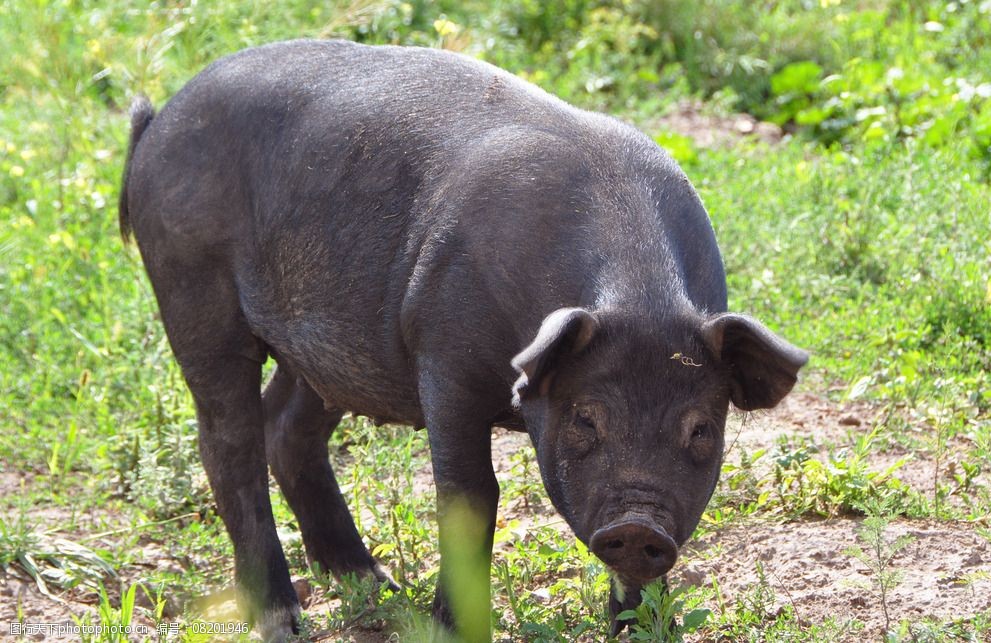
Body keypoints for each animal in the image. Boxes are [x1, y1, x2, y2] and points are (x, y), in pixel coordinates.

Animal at [120, 41, 808, 643]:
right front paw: (449, 627)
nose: (639, 526)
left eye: (701, 429)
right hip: (190, 287)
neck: (638, 294)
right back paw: (287, 622)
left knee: (286, 426)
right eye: (586, 418)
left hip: (334, 348)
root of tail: (159, 121)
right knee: (226, 440)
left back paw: (377, 584)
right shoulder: (443, 357)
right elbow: (471, 496)